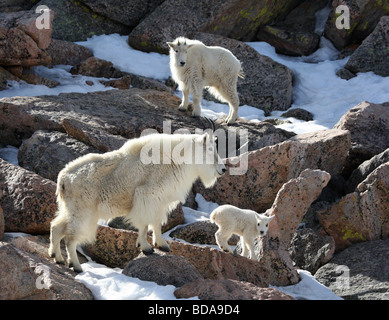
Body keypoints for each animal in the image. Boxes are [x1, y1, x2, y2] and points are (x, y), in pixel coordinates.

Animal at [48, 131, 224, 272]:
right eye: (210, 150)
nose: (223, 169)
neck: (176, 159)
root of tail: (63, 179)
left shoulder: (160, 201)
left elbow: (157, 223)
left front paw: (162, 245)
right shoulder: (146, 195)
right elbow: (145, 223)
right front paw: (145, 247)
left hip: (70, 209)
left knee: (56, 227)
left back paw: (57, 257)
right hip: (83, 212)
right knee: (70, 238)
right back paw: (76, 266)